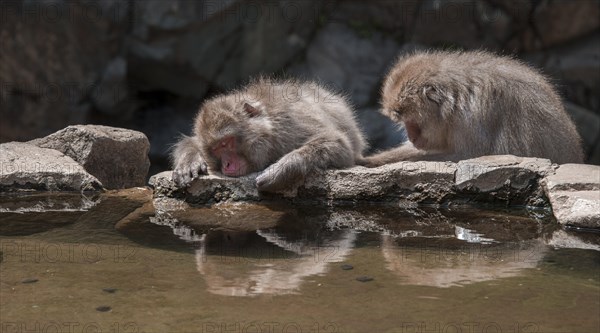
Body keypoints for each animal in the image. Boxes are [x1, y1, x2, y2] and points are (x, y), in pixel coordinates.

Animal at [169, 79, 366, 191]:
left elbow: (339, 144)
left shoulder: (290, 125)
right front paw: (189, 162)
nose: (226, 164)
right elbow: (191, 141)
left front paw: (280, 170)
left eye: (226, 143)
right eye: (215, 149)